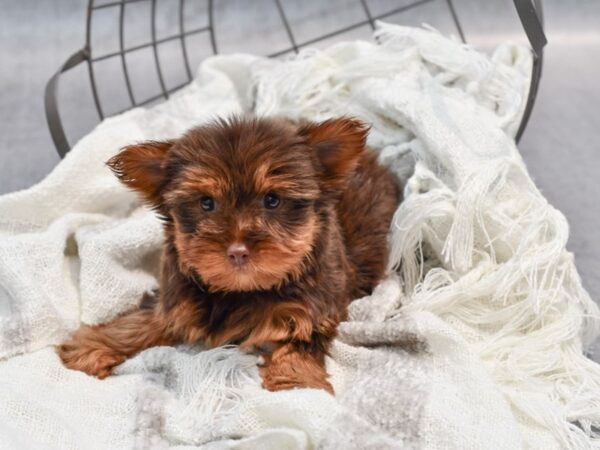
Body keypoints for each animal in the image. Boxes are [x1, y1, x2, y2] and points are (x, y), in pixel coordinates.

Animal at [58, 116, 400, 394]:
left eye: (272, 200)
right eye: (206, 203)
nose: (237, 251)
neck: (243, 290)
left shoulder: (313, 305)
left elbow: (301, 341)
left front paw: (295, 383)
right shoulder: (177, 296)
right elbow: (144, 320)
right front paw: (93, 347)